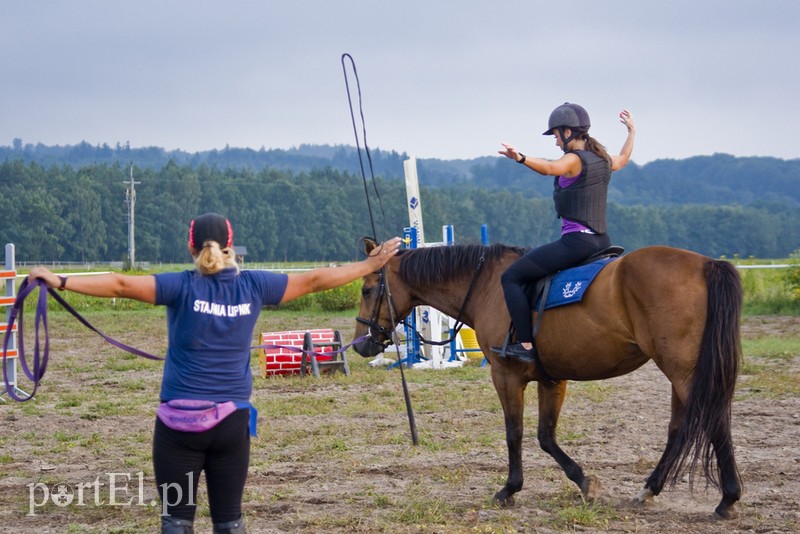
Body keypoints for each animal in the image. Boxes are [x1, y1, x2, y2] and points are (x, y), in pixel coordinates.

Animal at [354, 242, 740, 520]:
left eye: (368, 288)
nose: (360, 344)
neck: (489, 285)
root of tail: (706, 264)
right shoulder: (552, 379)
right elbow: (545, 436)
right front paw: (585, 483)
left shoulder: (505, 375)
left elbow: (515, 433)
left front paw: (509, 489)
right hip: (683, 374)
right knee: (679, 429)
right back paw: (650, 490)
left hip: (683, 372)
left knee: (713, 422)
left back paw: (727, 500)